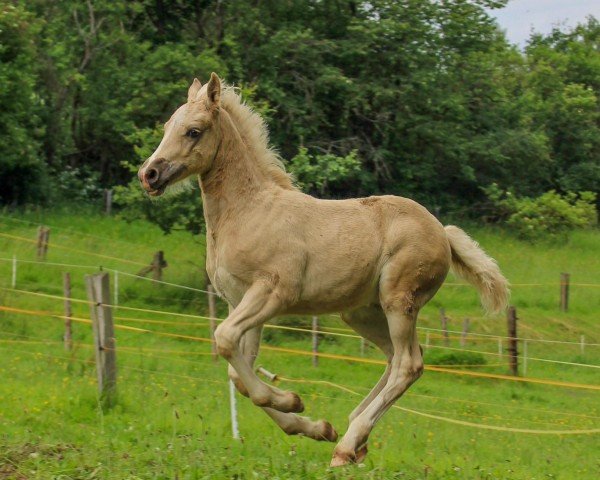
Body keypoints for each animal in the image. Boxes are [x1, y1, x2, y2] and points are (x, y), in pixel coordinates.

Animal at [138, 73, 508, 466]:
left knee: (409, 364)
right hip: (361, 313)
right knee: (397, 359)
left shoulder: (272, 293)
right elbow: (238, 372)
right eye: (167, 126)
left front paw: (293, 400)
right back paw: (352, 436)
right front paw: (315, 426)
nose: (149, 174)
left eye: (193, 131)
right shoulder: (238, 301)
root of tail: (442, 232)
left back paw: (347, 445)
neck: (248, 211)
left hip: (399, 300)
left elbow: (225, 342)